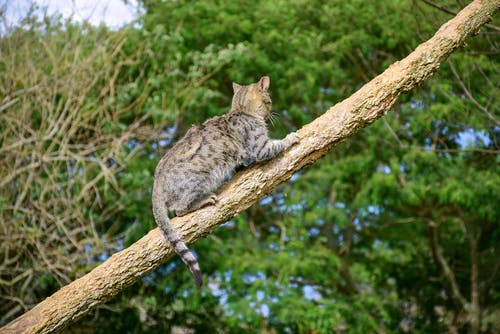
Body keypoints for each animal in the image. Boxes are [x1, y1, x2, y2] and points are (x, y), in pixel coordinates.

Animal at [151, 76, 300, 288]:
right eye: (269, 101)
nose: (272, 112)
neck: (241, 110)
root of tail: (156, 182)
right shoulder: (260, 148)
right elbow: (277, 144)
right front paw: (291, 137)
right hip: (199, 179)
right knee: (179, 209)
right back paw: (203, 200)